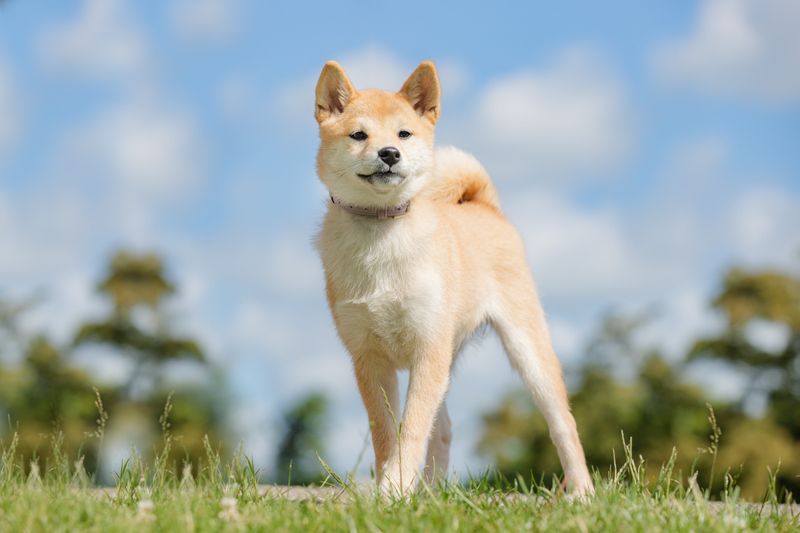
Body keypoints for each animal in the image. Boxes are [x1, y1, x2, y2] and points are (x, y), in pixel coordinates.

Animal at [312, 59, 592, 494]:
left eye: (404, 134)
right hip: (447, 359)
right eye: (359, 134)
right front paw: (391, 486)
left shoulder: (427, 348)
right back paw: (429, 493)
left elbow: (411, 429)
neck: (382, 235)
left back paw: (581, 491)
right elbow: (386, 433)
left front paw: (394, 489)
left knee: (563, 424)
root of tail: (485, 206)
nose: (389, 153)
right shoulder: (369, 357)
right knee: (442, 429)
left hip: (526, 350)